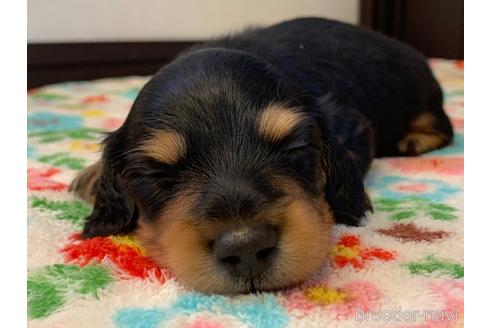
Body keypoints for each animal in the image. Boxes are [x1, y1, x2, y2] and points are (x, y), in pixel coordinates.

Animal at [69, 17, 454, 294]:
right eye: (158, 175)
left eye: (294, 148)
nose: (246, 249)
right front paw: (91, 176)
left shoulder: (356, 125)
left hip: (419, 95)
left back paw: (412, 141)